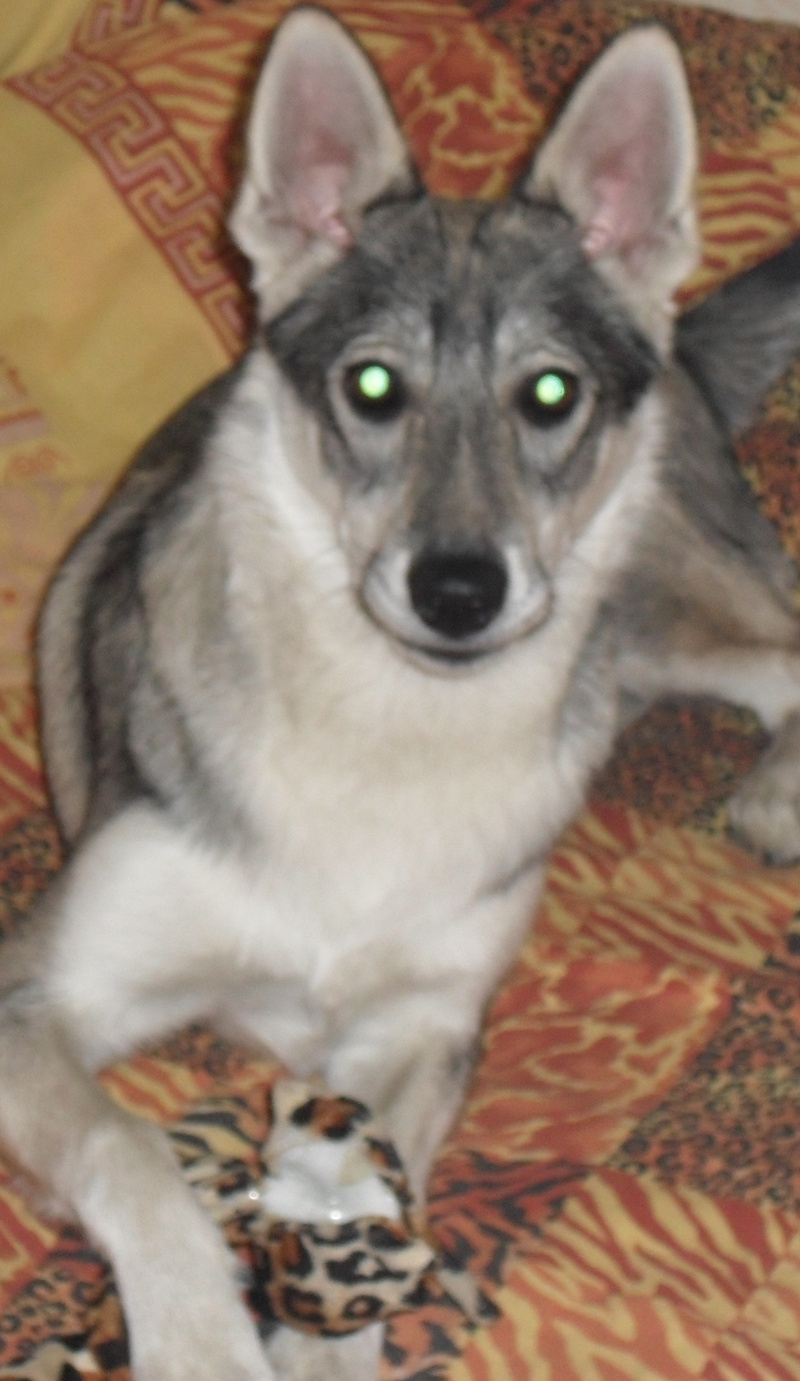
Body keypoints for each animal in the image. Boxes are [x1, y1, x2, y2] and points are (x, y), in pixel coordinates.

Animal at [3, 8, 800, 1380]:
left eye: (549, 391)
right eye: (371, 385)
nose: (459, 589)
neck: (380, 741)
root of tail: (681, 350)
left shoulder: (424, 1024)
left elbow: (357, 1204)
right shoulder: (38, 998)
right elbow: (132, 1146)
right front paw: (204, 1341)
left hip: (647, 605)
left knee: (784, 645)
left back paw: (772, 795)